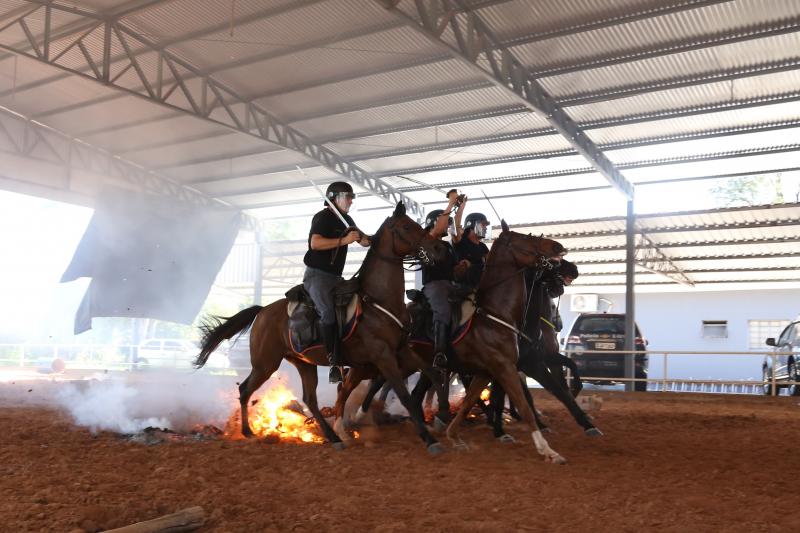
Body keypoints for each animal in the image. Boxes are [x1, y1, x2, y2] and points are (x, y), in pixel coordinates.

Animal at [191, 203, 446, 454]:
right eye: (406, 227)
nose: (438, 247)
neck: (377, 299)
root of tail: (262, 311)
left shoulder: (402, 350)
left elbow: (433, 374)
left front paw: (442, 417)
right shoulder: (383, 356)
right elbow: (404, 396)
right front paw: (429, 439)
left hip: (304, 363)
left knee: (310, 399)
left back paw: (334, 437)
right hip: (265, 364)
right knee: (245, 389)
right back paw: (249, 432)